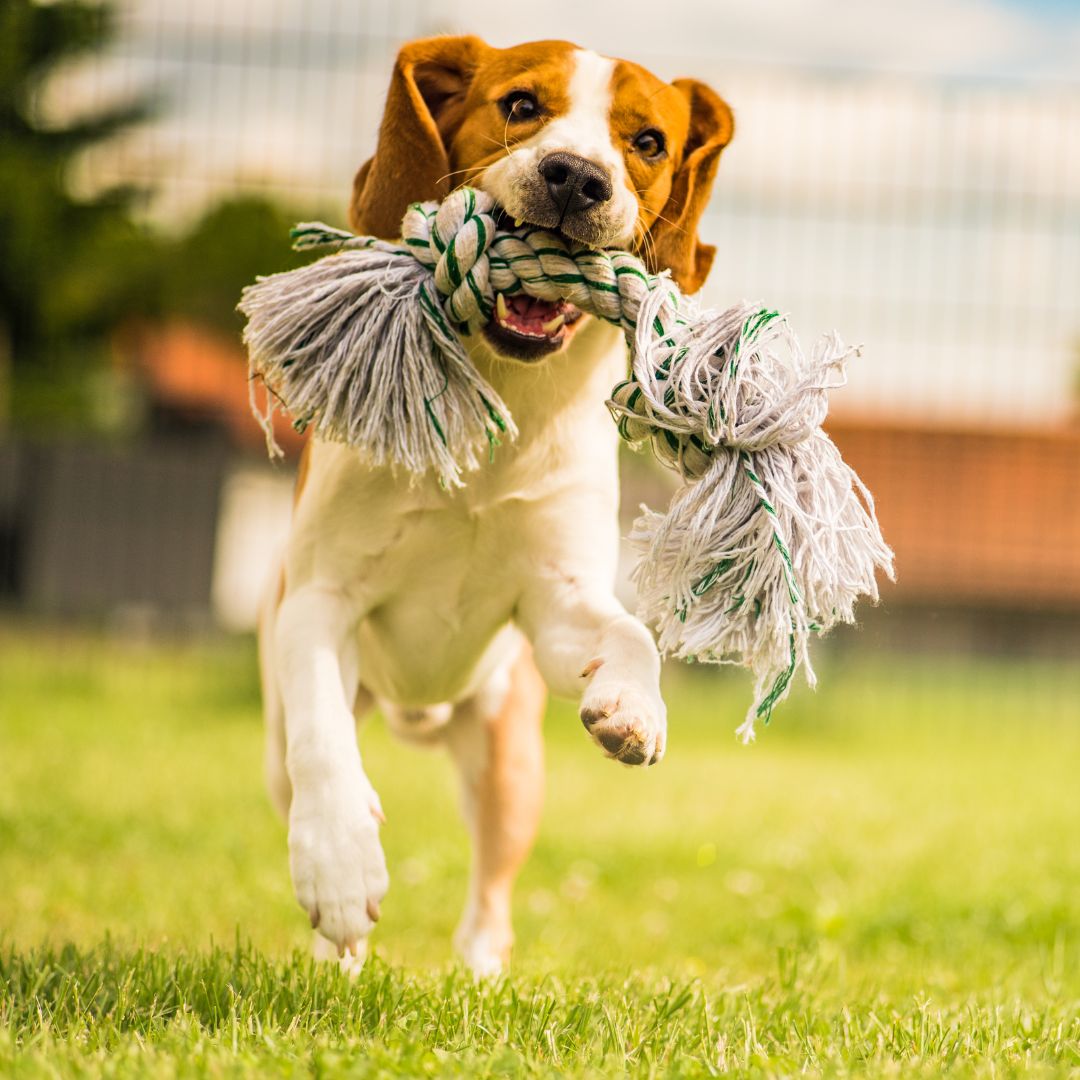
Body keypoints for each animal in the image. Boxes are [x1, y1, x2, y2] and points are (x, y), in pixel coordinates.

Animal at [260, 38, 734, 976]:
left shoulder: (553, 604)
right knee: (309, 763)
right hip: (281, 747)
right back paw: (338, 957)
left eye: (648, 142)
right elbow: (325, 744)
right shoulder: (319, 598)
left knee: (491, 893)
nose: (576, 177)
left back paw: (479, 977)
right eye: (519, 105)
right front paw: (339, 868)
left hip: (508, 761)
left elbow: (629, 633)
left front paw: (634, 707)